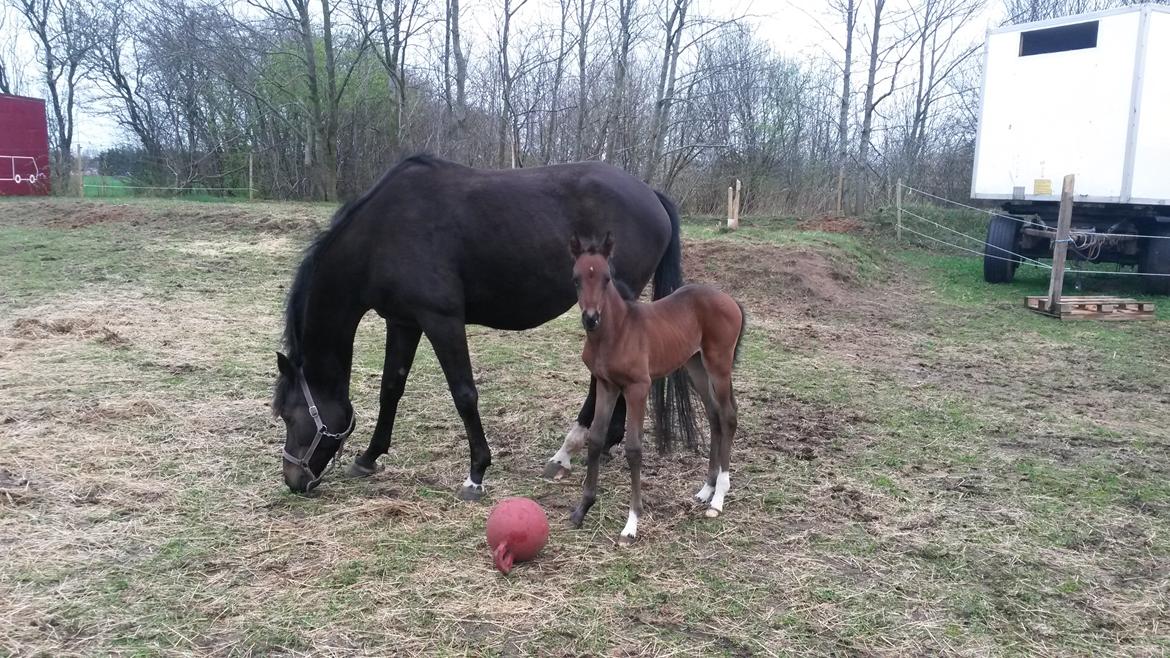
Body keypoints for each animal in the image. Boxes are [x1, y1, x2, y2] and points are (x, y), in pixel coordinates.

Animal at [273, 153, 692, 494]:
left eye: (290, 416)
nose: (294, 480)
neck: (382, 232)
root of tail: (650, 194)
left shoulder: (441, 319)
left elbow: (464, 393)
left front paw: (476, 472)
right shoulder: (404, 321)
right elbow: (391, 387)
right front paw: (369, 457)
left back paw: (566, 451)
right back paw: (606, 442)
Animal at [568, 231, 748, 543]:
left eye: (606, 278)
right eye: (577, 278)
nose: (591, 318)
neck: (617, 331)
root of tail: (731, 300)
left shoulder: (638, 388)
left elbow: (633, 448)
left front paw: (631, 524)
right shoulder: (606, 385)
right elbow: (596, 439)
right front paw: (582, 509)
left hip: (719, 366)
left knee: (728, 416)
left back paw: (718, 499)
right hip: (695, 367)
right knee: (714, 416)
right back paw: (706, 489)